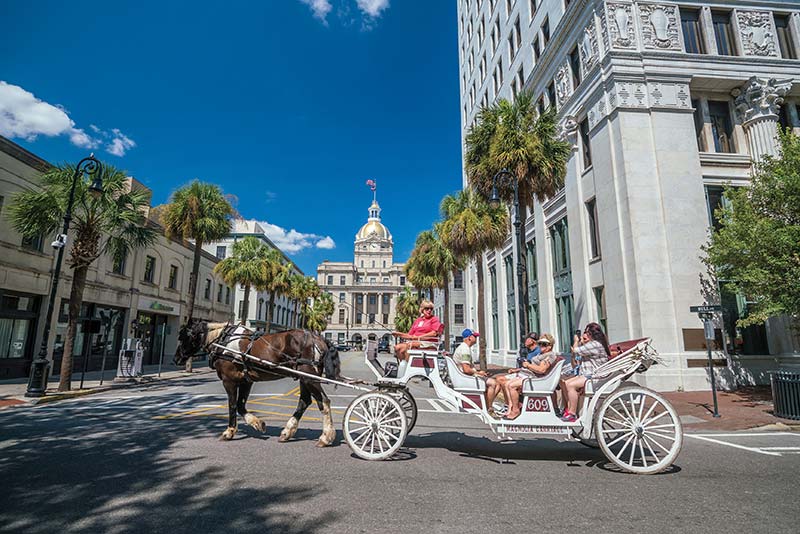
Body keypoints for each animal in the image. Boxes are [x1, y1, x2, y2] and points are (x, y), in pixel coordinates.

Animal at [173, 322, 340, 448]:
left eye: (182, 337)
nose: (176, 359)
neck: (223, 342)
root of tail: (318, 338)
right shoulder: (246, 381)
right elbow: (240, 406)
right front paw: (258, 423)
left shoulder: (229, 381)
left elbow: (232, 405)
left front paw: (229, 432)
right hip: (304, 378)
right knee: (305, 401)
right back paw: (287, 432)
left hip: (308, 377)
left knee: (323, 401)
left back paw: (326, 437)